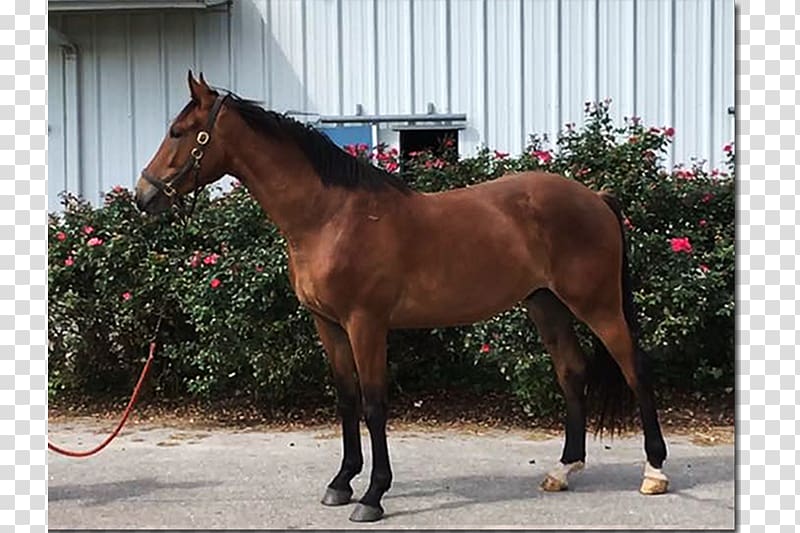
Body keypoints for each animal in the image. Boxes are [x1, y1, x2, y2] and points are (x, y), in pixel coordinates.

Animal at [136, 72, 668, 520]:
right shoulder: (328, 325)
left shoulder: (365, 323)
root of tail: (596, 198)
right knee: (571, 372)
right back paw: (563, 469)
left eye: (179, 131)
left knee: (635, 369)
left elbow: (374, 403)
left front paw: (372, 495)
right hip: (546, 304)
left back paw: (654, 472)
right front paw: (341, 482)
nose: (144, 195)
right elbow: (347, 399)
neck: (330, 217)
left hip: (597, 306)